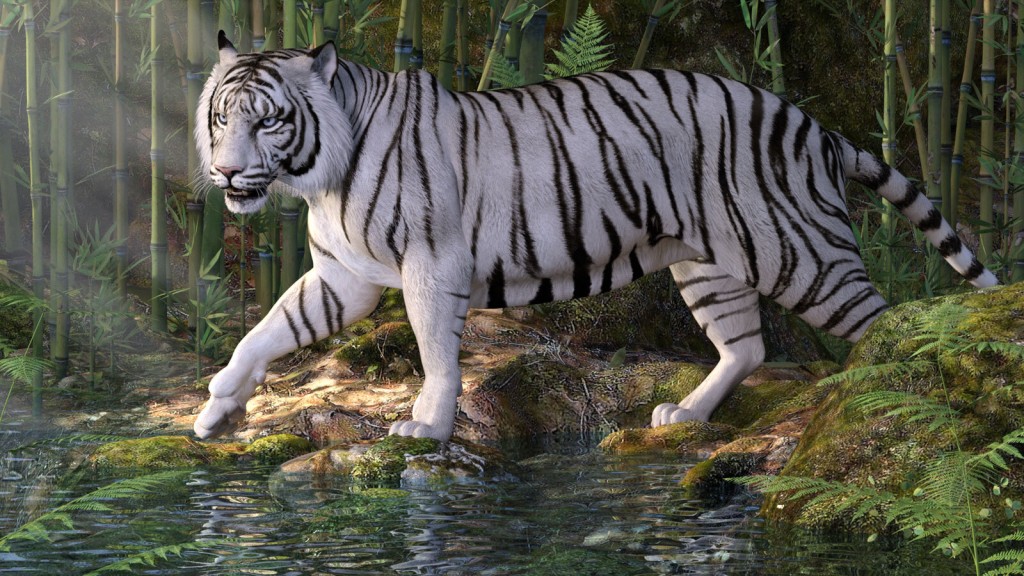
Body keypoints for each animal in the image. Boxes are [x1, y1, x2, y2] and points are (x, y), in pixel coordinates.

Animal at [193, 32, 998, 442]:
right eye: (221, 117)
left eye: (270, 120)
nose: (226, 171)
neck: (319, 175)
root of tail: (815, 126)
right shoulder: (345, 276)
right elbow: (267, 330)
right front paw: (219, 406)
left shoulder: (431, 264)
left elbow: (436, 353)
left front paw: (426, 425)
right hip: (709, 265)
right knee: (746, 346)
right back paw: (685, 415)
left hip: (798, 253)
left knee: (887, 324)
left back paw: (888, 400)